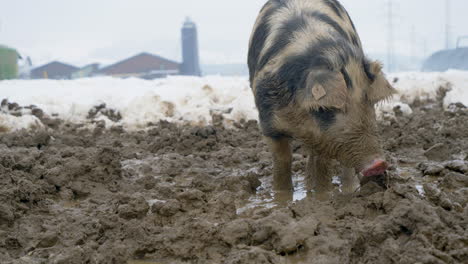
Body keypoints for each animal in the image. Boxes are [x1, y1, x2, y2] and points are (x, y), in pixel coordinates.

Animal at [247, 0, 396, 194]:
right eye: (329, 108)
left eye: (369, 101)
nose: (378, 164)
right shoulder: (269, 122)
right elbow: (282, 161)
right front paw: (282, 196)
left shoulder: (326, 138)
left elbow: (323, 165)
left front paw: (322, 196)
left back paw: (348, 189)